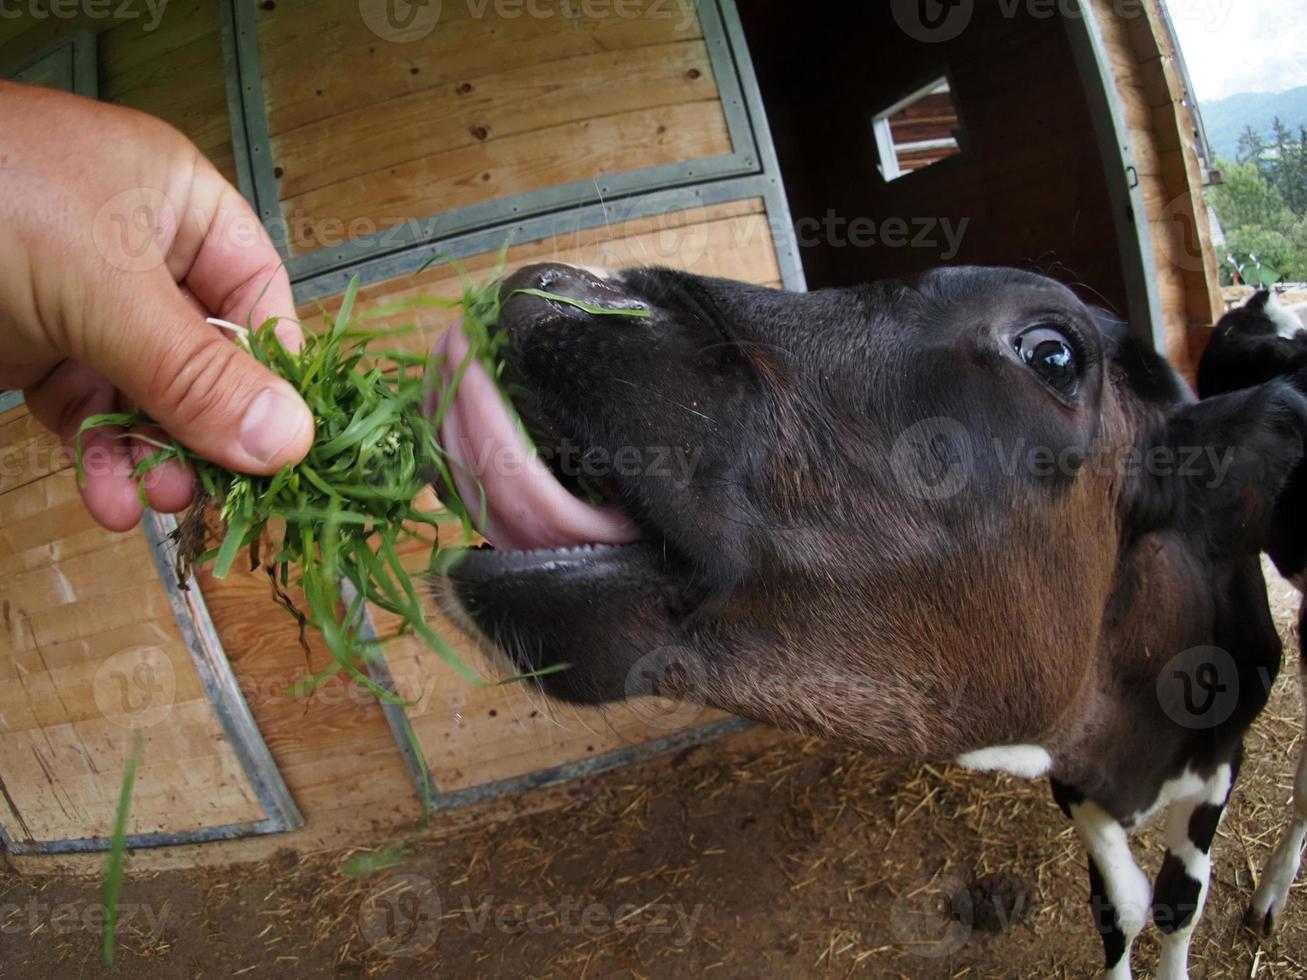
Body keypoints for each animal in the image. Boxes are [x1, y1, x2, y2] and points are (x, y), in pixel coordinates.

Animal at [433, 265, 1307, 977]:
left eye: (1051, 353)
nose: (547, 288)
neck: (1129, 746)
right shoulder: (1070, 764)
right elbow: (1116, 910)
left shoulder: (1218, 755)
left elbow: (1174, 903)